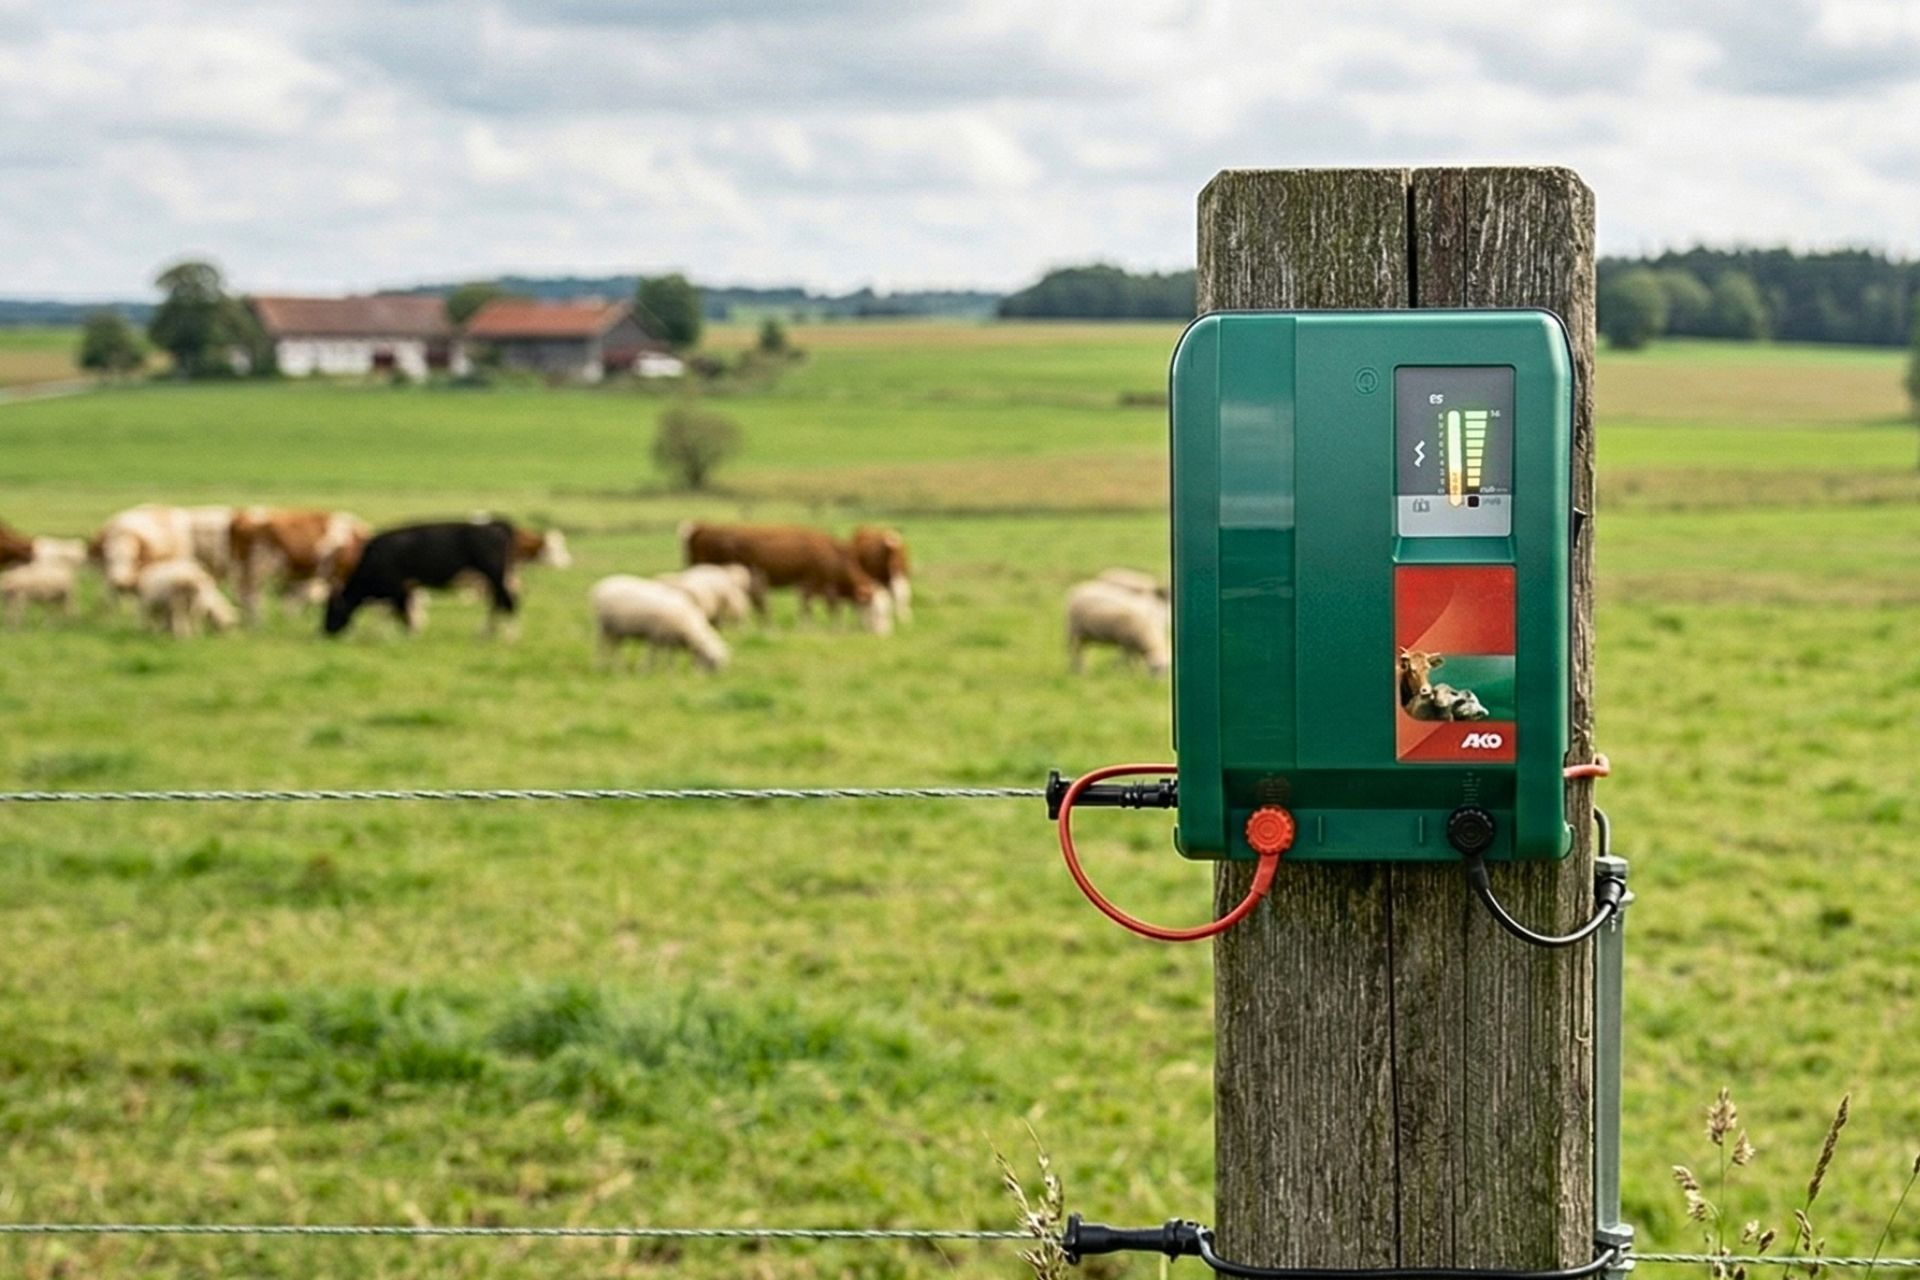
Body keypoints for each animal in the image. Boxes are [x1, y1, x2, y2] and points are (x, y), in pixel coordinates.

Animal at [229, 507, 372, 622]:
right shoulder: (340, 577)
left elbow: (294, 602)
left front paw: (291, 621)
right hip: (256, 571)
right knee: (252, 597)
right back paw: (256, 624)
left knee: (246, 597)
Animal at [323, 520, 517, 637]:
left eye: (331, 610)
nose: (323, 632)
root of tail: (493, 527)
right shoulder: (405, 590)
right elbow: (398, 613)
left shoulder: (398, 589)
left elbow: (402, 613)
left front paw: (408, 634)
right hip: (492, 580)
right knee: (498, 602)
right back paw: (489, 633)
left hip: (495, 577)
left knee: (507, 601)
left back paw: (508, 636)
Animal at [680, 521, 891, 635]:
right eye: (875, 610)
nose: (883, 634)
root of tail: (702, 528)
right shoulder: (810, 582)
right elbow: (810, 608)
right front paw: (809, 629)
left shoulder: (822, 586)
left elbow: (828, 609)